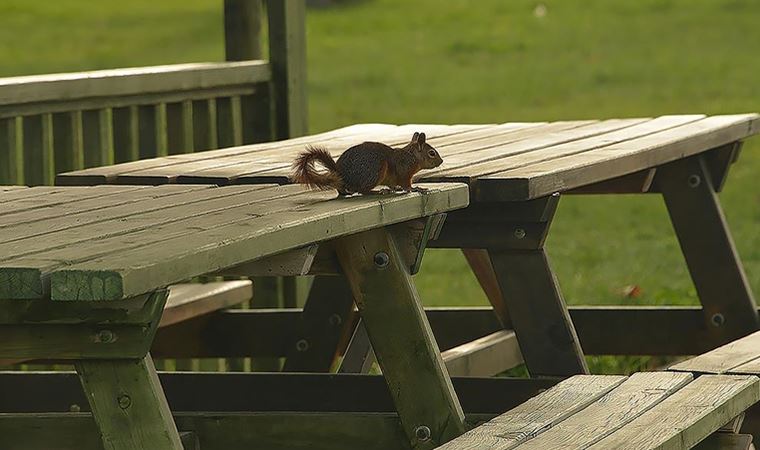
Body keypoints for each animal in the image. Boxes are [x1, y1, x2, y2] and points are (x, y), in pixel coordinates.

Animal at [290, 130, 446, 193]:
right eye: (432, 153)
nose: (441, 161)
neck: (411, 157)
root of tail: (341, 173)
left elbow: (394, 184)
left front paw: (395, 188)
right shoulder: (404, 171)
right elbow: (406, 184)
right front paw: (416, 188)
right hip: (375, 170)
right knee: (363, 191)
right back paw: (377, 192)